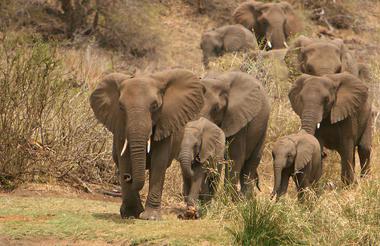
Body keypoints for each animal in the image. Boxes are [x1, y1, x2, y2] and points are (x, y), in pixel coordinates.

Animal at [90, 68, 205, 219]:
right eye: (121, 107)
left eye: (155, 106)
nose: (127, 177)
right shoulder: (120, 126)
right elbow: (124, 159)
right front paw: (131, 215)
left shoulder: (165, 122)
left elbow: (158, 161)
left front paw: (150, 217)